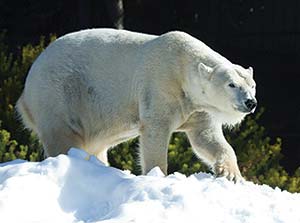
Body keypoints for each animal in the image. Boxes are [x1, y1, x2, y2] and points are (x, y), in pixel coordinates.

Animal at [16, 28, 256, 181]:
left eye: (252, 85)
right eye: (232, 84)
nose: (250, 102)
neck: (182, 65)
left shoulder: (197, 107)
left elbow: (207, 138)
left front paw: (231, 174)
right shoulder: (160, 84)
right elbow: (155, 132)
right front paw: (158, 174)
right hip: (59, 93)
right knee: (62, 134)